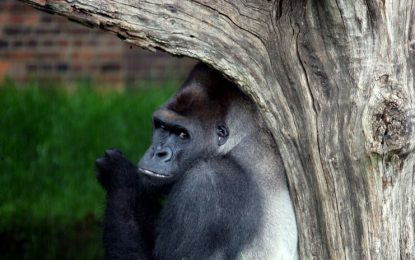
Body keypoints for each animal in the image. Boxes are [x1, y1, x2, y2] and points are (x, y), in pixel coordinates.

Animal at [96, 63, 300, 260]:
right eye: (162, 126)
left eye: (182, 134)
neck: (238, 142)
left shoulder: (205, 182)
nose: (158, 153)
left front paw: (120, 175)